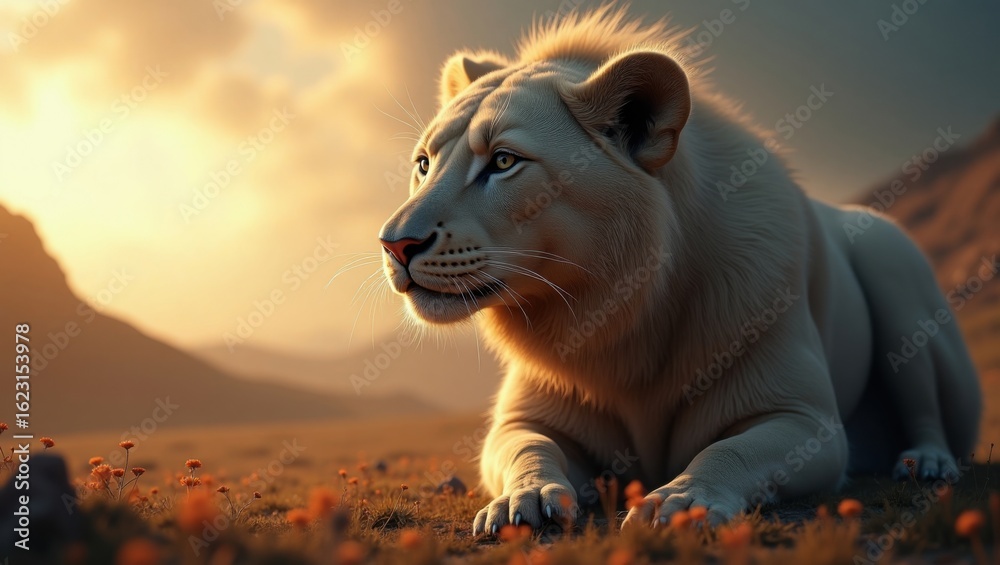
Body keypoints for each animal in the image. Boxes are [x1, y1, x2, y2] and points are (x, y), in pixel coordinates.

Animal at [377, 8, 982, 533]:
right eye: (424, 164)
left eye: (504, 161)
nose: (395, 244)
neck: (616, 313)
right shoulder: (524, 417)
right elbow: (528, 447)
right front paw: (520, 500)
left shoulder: (805, 421)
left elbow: (730, 450)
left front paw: (681, 501)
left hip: (895, 270)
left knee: (927, 406)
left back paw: (925, 463)